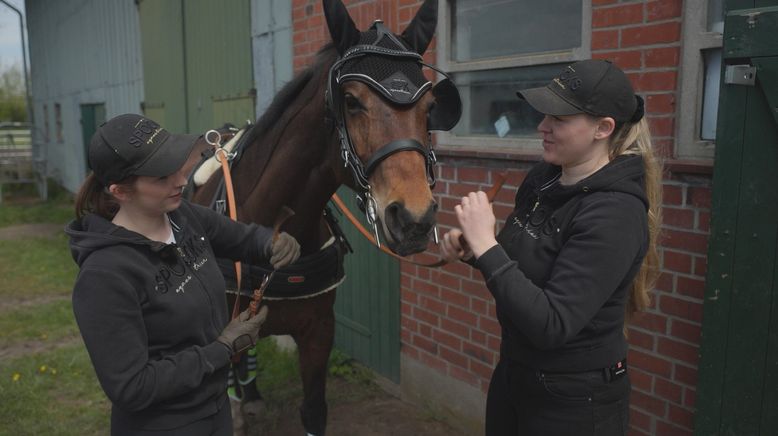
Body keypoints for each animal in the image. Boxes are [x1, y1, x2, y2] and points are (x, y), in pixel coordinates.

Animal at [189, 1, 458, 434]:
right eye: (351, 101)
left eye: (430, 107)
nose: (413, 217)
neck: (275, 228)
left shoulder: (318, 332)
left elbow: (314, 409)